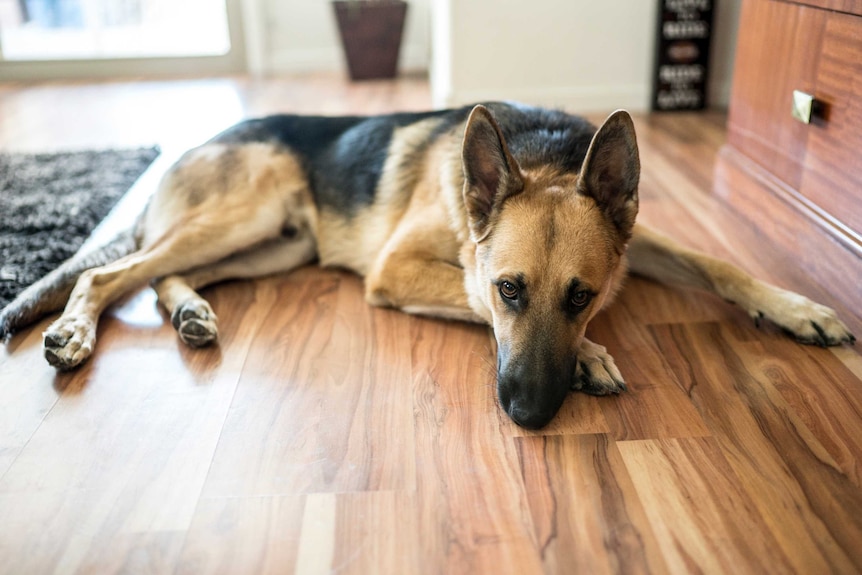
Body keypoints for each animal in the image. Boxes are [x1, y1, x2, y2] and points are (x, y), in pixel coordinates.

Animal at [0, 103, 852, 428]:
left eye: (583, 295)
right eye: (510, 290)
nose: (529, 416)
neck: (543, 153)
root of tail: (200, 138)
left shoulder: (634, 243)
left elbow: (718, 263)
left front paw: (797, 307)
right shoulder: (396, 267)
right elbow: (467, 293)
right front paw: (592, 356)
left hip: (274, 243)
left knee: (158, 276)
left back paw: (191, 313)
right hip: (247, 215)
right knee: (111, 274)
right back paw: (75, 332)